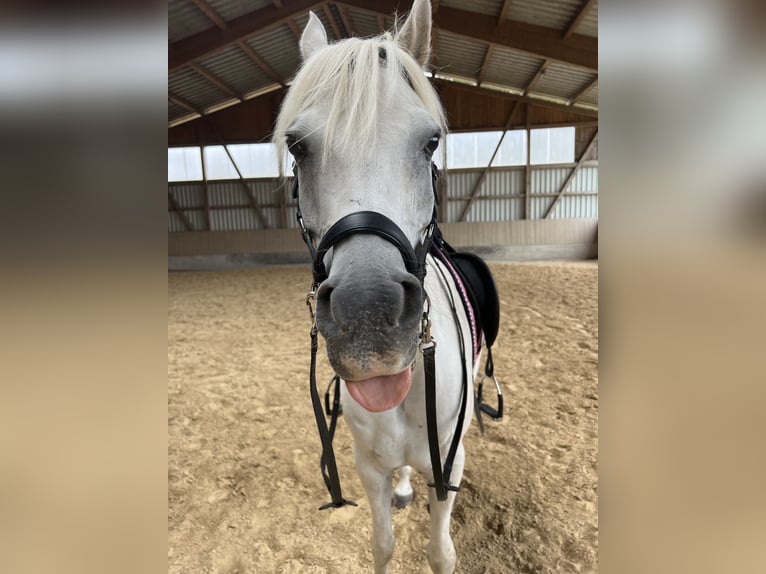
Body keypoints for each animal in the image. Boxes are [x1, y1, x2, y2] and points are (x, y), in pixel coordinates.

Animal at [274, 1, 477, 571]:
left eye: (430, 142)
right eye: (297, 145)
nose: (369, 318)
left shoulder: (450, 465)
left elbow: (441, 553)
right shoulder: (366, 467)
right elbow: (382, 544)